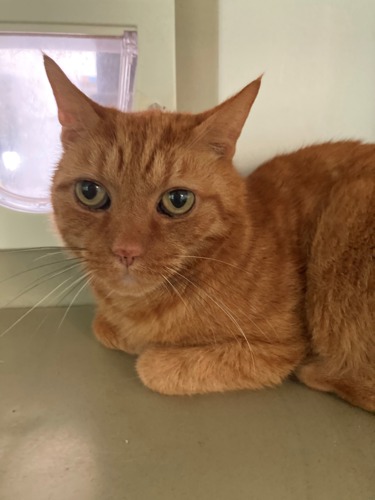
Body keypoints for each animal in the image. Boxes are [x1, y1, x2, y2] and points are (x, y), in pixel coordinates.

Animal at [44, 56, 375, 412]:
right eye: (90, 192)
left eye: (178, 200)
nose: (126, 251)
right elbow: (104, 328)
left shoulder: (275, 349)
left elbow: (152, 366)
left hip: (347, 210)